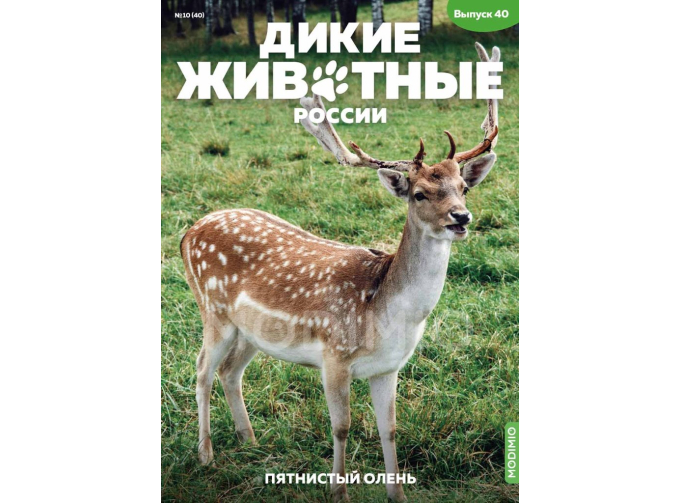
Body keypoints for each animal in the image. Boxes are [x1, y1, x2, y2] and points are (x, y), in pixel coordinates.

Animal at [180, 42, 501, 502]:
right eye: (420, 194)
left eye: (464, 187)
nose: (462, 217)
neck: (385, 314)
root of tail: (187, 233)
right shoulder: (334, 356)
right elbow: (342, 427)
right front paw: (338, 491)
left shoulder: (389, 367)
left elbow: (390, 429)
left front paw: (397, 494)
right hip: (213, 310)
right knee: (203, 369)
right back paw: (206, 454)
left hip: (252, 330)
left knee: (230, 371)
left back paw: (250, 441)